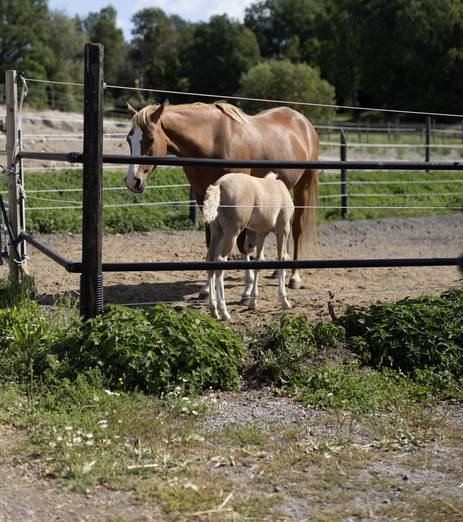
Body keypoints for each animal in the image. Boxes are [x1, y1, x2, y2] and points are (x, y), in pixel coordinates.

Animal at [123, 100, 320, 288]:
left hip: (304, 185)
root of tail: (303, 122)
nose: (133, 181)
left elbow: (241, 243)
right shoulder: (203, 197)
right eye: (128, 139)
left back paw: (294, 276)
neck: (213, 141)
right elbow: (211, 240)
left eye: (150, 139)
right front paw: (206, 288)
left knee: (297, 228)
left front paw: (248, 284)